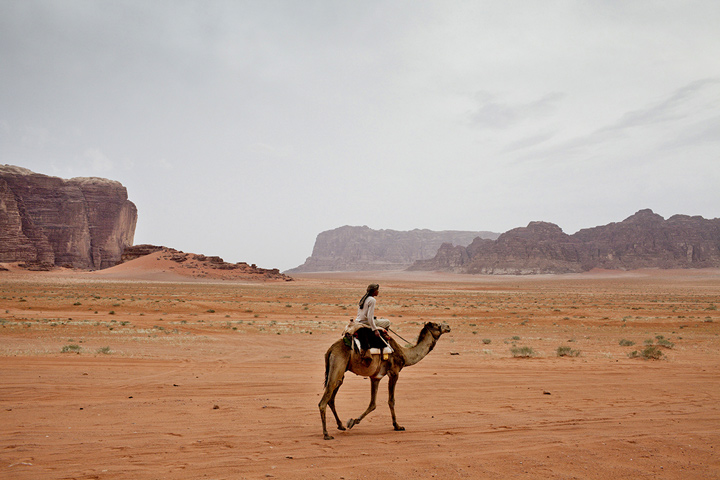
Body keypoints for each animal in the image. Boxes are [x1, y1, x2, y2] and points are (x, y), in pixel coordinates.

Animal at [320, 322, 450, 438]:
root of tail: (330, 350)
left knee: (332, 398)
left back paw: (340, 425)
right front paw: (397, 426)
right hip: (337, 366)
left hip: (340, 373)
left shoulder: (375, 377)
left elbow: (372, 404)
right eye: (437, 325)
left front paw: (353, 421)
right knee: (324, 400)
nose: (448, 327)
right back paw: (326, 434)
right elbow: (391, 401)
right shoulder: (394, 373)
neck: (405, 354)